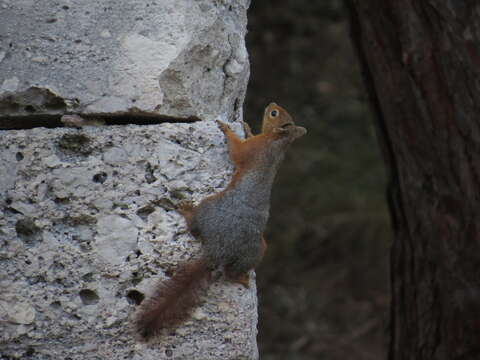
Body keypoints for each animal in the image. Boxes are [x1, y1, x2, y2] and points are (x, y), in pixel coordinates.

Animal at [134, 102, 308, 338]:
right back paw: (241, 278)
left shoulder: (253, 151)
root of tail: (219, 249)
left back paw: (187, 210)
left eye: (274, 114)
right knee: (232, 271)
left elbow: (236, 151)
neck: (277, 141)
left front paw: (226, 128)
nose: (271, 104)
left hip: (208, 206)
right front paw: (246, 127)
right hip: (257, 250)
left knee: (196, 228)